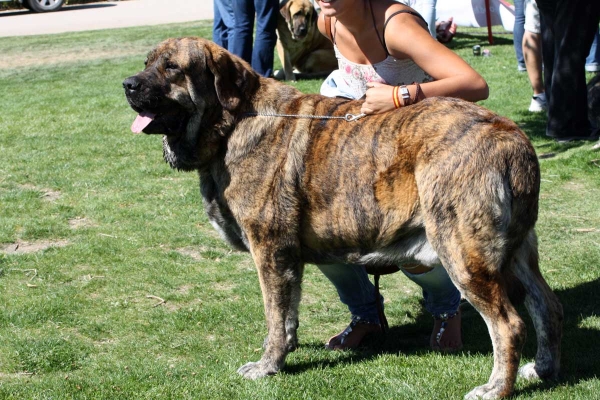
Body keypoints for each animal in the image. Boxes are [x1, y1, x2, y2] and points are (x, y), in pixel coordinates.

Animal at [124, 37, 564, 400]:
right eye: (147, 63)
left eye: (172, 67)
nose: (128, 84)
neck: (233, 122)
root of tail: (512, 138)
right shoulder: (287, 257)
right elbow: (287, 315)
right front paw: (285, 352)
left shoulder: (270, 250)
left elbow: (273, 316)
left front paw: (267, 366)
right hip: (518, 250)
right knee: (546, 305)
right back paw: (542, 369)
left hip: (462, 251)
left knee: (509, 325)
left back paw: (496, 388)